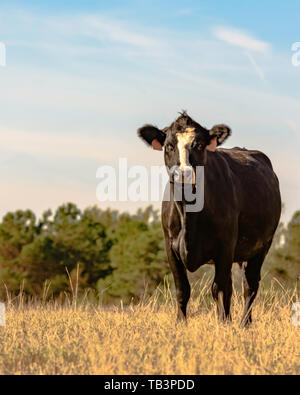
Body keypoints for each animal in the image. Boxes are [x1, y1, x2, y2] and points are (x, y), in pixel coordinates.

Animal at [138, 110, 282, 324]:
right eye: (169, 145)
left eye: (199, 145)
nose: (184, 174)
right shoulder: (170, 246)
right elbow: (182, 288)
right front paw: (181, 323)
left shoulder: (226, 245)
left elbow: (219, 288)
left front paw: (222, 324)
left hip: (262, 246)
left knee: (249, 286)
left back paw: (244, 323)